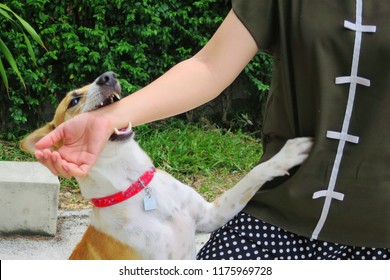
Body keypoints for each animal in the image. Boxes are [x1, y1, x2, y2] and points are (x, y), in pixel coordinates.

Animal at [20, 71, 314, 260]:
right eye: (73, 100)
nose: (108, 76)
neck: (135, 186)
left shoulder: (212, 215)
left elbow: (252, 175)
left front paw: (285, 155)